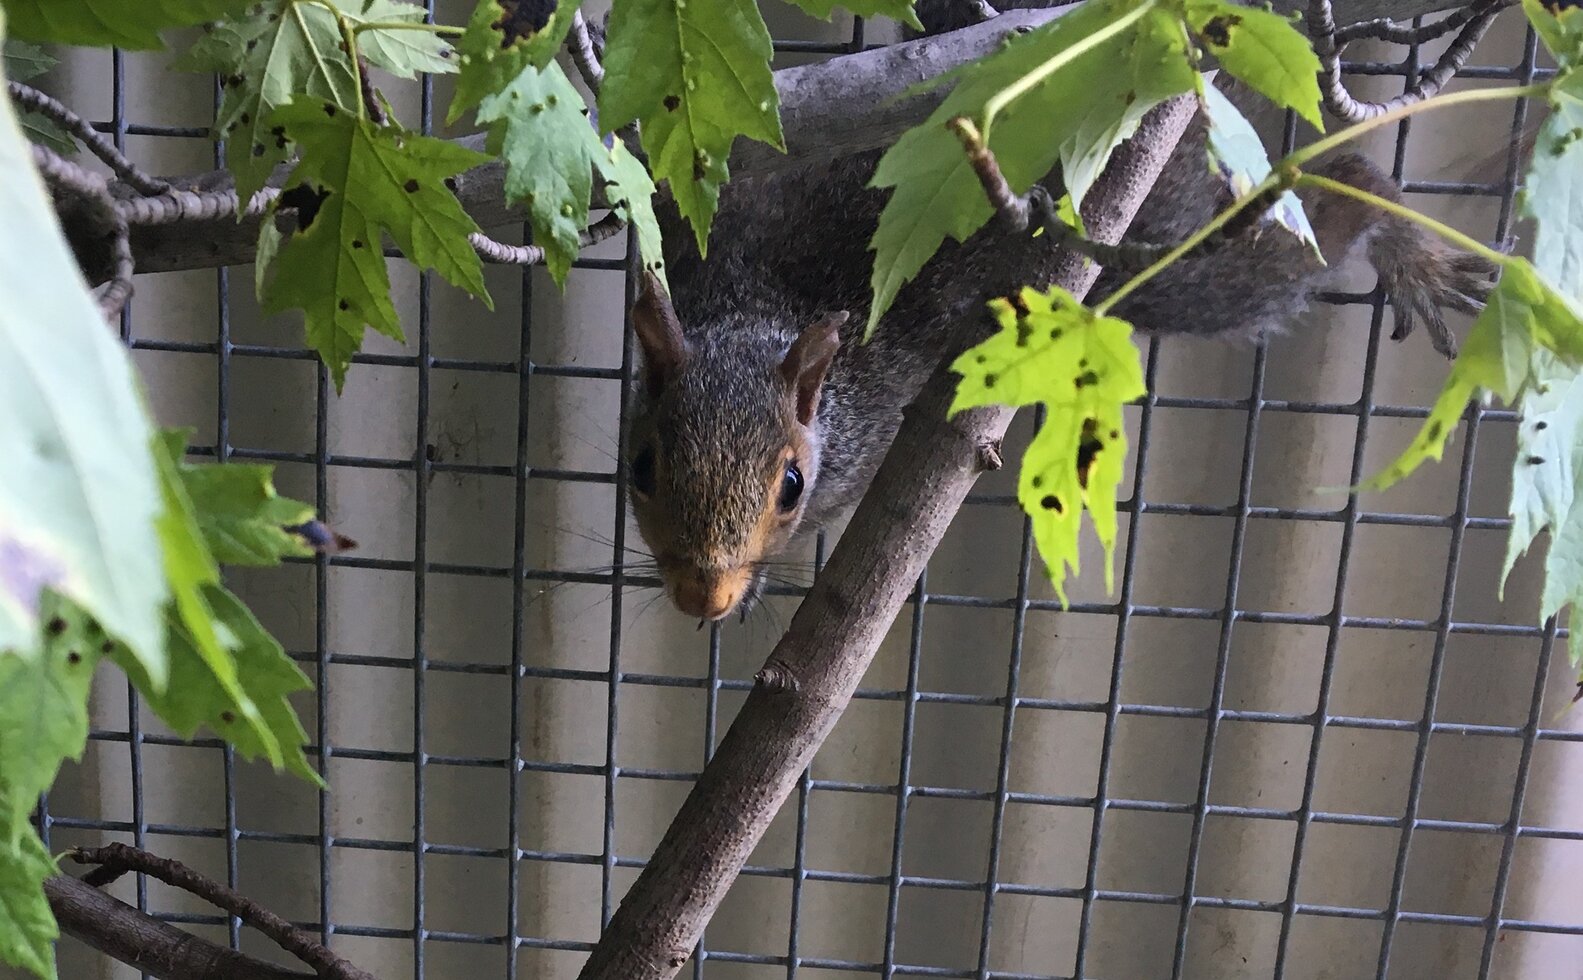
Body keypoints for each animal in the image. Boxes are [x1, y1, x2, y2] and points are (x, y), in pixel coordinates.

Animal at [623, 9, 1499, 623]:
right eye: (640, 467)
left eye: (792, 486)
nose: (703, 598)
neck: (747, 305)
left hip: (1160, 245)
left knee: (1311, 218)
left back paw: (1408, 247)